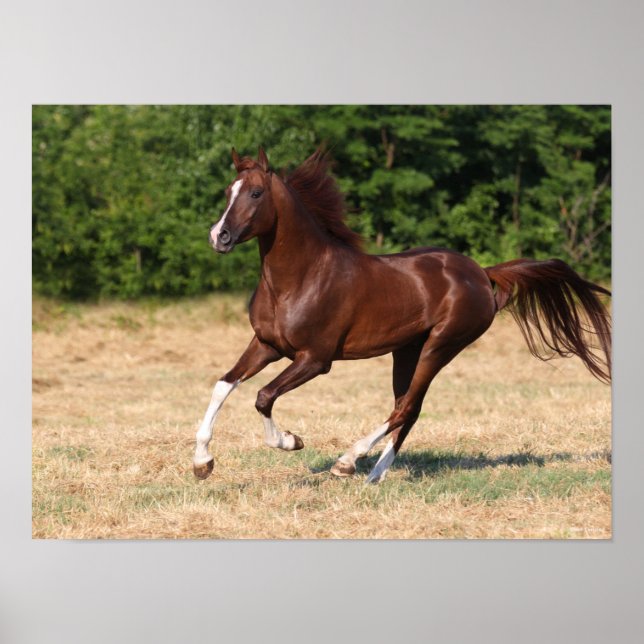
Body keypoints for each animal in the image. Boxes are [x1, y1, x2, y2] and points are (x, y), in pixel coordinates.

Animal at [193, 147, 611, 483]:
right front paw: (202, 463)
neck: (300, 277)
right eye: (227, 192)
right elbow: (223, 385)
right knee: (406, 409)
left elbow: (263, 396)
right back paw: (374, 475)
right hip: (406, 350)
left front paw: (290, 441)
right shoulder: (266, 345)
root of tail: (482, 273)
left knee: (407, 406)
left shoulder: (315, 359)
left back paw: (348, 463)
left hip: (440, 347)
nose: (218, 236)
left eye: (256, 193)